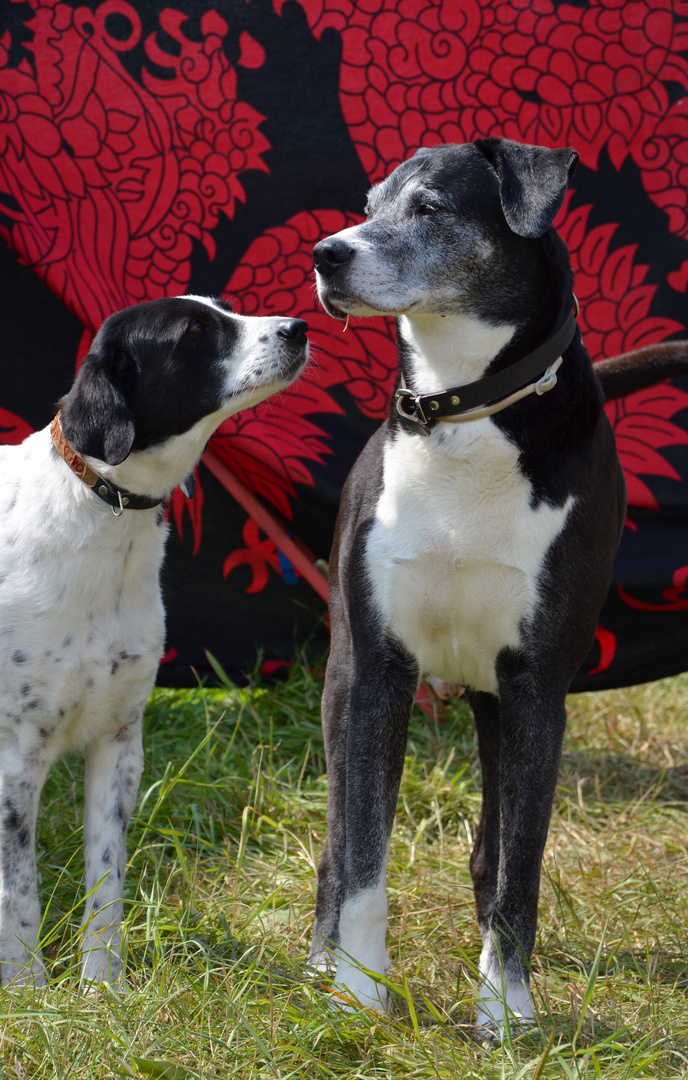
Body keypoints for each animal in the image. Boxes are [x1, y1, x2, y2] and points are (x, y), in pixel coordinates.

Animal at [0, 295, 306, 989]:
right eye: (194, 330)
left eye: (223, 308)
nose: (300, 327)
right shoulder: (16, 760)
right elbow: (20, 893)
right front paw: (29, 989)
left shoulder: (118, 742)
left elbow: (106, 882)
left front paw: (101, 987)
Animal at [308, 141, 686, 1028]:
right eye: (368, 204)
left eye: (432, 207)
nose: (326, 255)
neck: (465, 414)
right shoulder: (375, 673)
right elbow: (364, 853)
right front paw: (358, 993)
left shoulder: (536, 690)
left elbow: (519, 868)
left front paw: (506, 1009)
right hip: (341, 685)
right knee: (337, 850)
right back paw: (320, 960)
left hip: (491, 705)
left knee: (490, 853)